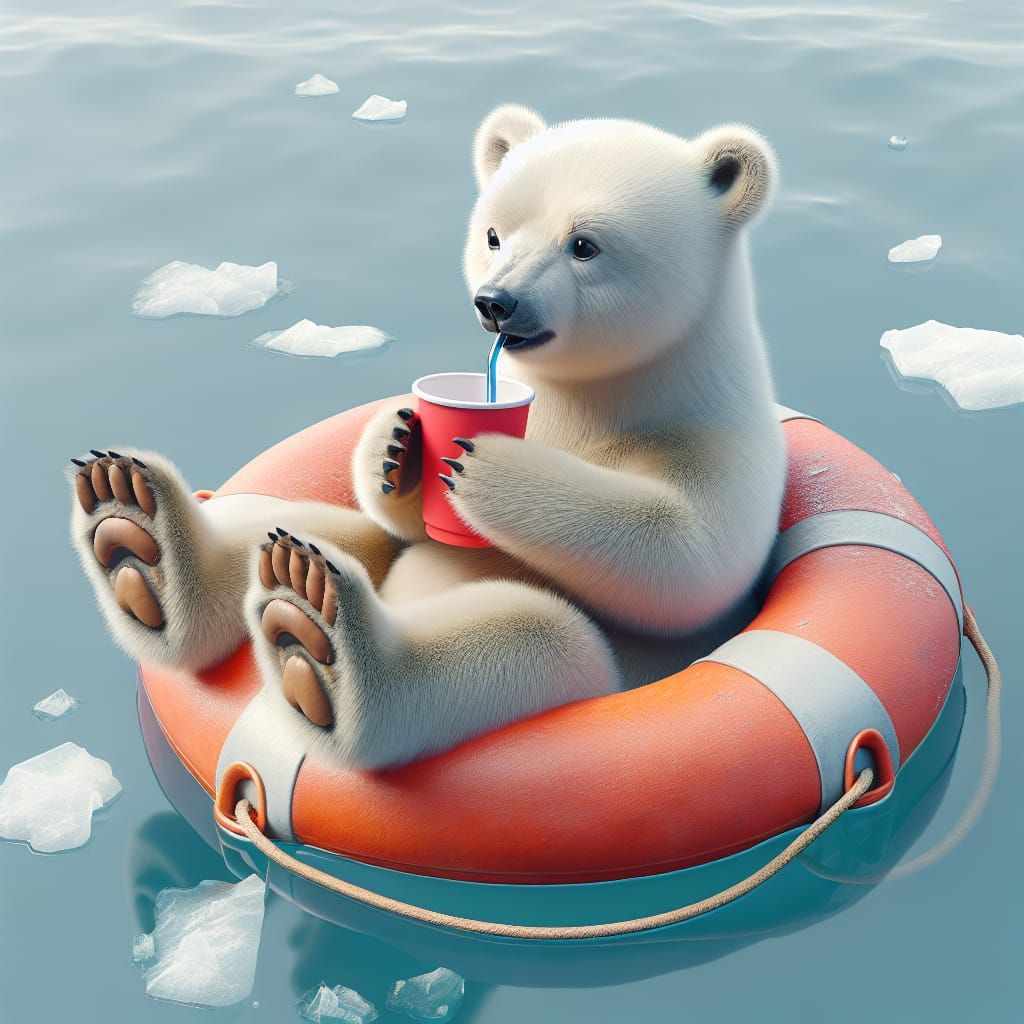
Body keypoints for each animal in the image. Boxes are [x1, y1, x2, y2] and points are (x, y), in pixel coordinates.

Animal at [68, 104, 786, 770]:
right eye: (494, 233)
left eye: (584, 244)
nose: (497, 302)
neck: (604, 392)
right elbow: (402, 520)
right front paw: (397, 444)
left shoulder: (716, 436)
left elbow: (690, 561)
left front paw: (487, 467)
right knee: (325, 532)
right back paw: (138, 529)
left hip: (602, 680)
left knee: (544, 639)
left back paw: (318, 632)